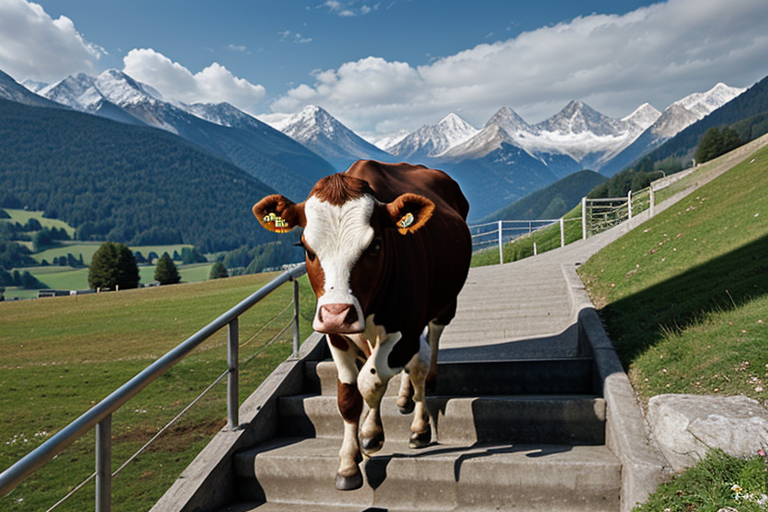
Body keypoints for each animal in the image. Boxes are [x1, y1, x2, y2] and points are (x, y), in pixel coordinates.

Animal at [252, 160, 471, 491]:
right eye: (307, 249)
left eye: (375, 246)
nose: (336, 313)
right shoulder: (337, 336)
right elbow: (347, 396)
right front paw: (347, 463)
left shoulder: (405, 328)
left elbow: (370, 382)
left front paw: (370, 434)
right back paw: (404, 398)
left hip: (443, 306)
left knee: (425, 354)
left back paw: (420, 422)